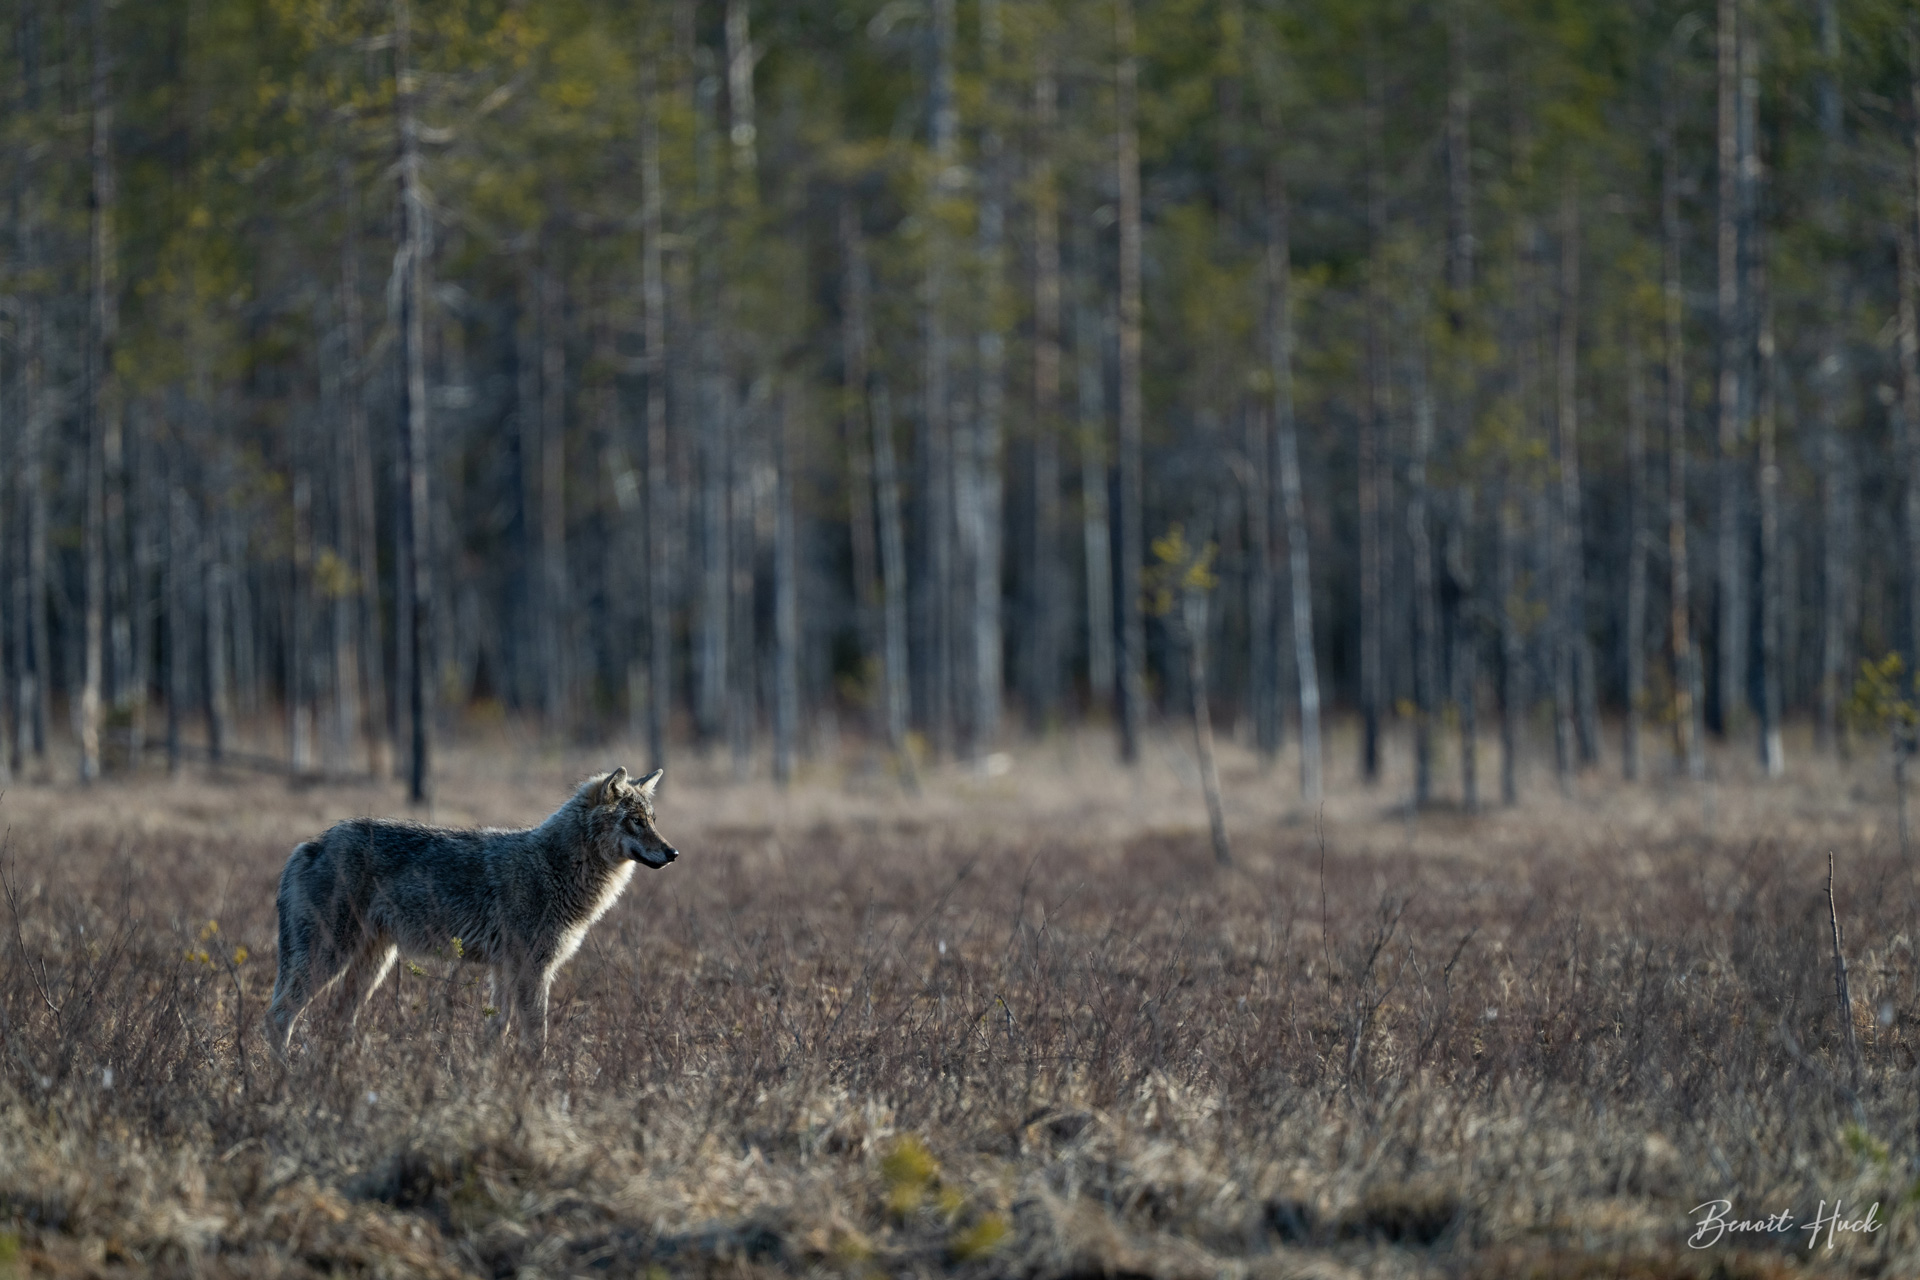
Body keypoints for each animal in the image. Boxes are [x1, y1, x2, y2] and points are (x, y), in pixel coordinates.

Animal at [267, 766, 677, 1057]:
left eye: (653, 820)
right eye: (635, 821)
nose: (673, 853)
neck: (556, 866)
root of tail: (310, 844)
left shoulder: (506, 971)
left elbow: (497, 1032)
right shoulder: (532, 971)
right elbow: (536, 1040)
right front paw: (536, 1085)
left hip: (372, 966)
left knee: (336, 1021)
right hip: (330, 960)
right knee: (278, 1017)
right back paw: (286, 1078)